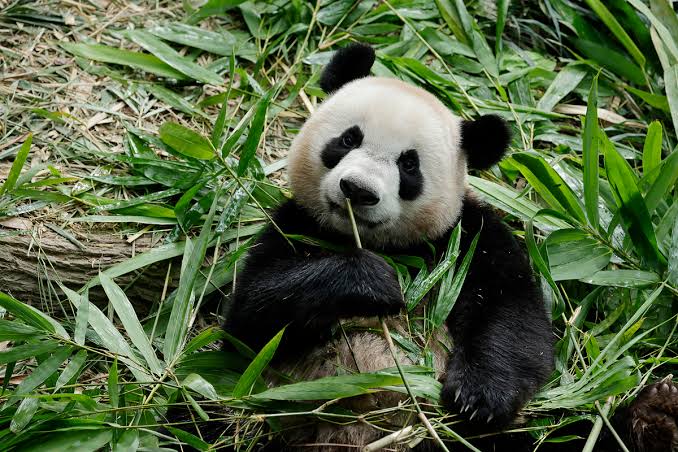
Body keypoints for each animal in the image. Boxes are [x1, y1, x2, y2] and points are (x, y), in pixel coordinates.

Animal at [217, 44, 678, 451]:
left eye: (409, 164)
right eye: (348, 140)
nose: (358, 190)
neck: (383, 243)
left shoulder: (470, 239)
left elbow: (515, 319)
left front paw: (479, 397)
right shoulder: (296, 226)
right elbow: (251, 318)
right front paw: (372, 282)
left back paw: (653, 417)